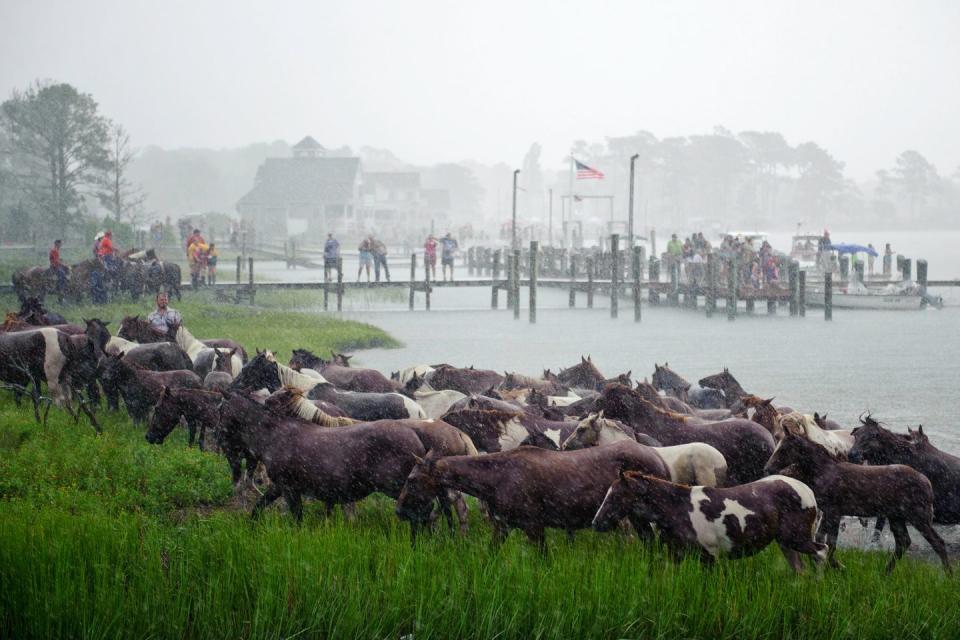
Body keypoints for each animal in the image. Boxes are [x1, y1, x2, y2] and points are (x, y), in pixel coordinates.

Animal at [592, 472, 824, 572]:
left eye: (615, 496)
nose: (596, 522)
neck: (678, 507)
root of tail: (809, 492)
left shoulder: (709, 557)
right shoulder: (676, 555)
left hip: (796, 539)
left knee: (821, 552)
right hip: (785, 543)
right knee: (800, 569)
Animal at [764, 430, 952, 576]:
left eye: (784, 449)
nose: (767, 468)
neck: (823, 471)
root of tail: (927, 482)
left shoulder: (835, 511)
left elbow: (830, 542)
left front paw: (837, 567)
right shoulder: (828, 512)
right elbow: (821, 539)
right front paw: (830, 566)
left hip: (918, 517)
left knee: (937, 543)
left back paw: (948, 575)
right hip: (896, 517)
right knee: (903, 542)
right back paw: (885, 573)